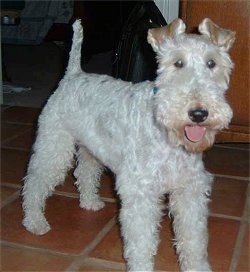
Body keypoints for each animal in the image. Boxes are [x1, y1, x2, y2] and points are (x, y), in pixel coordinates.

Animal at [21, 18, 234, 270]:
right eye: (177, 63)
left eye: (212, 63)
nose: (198, 113)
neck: (165, 132)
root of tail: (72, 74)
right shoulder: (141, 193)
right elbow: (141, 242)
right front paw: (141, 266)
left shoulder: (190, 190)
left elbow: (193, 239)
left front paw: (196, 267)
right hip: (54, 146)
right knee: (35, 182)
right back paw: (35, 221)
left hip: (90, 149)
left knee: (84, 173)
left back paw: (90, 202)